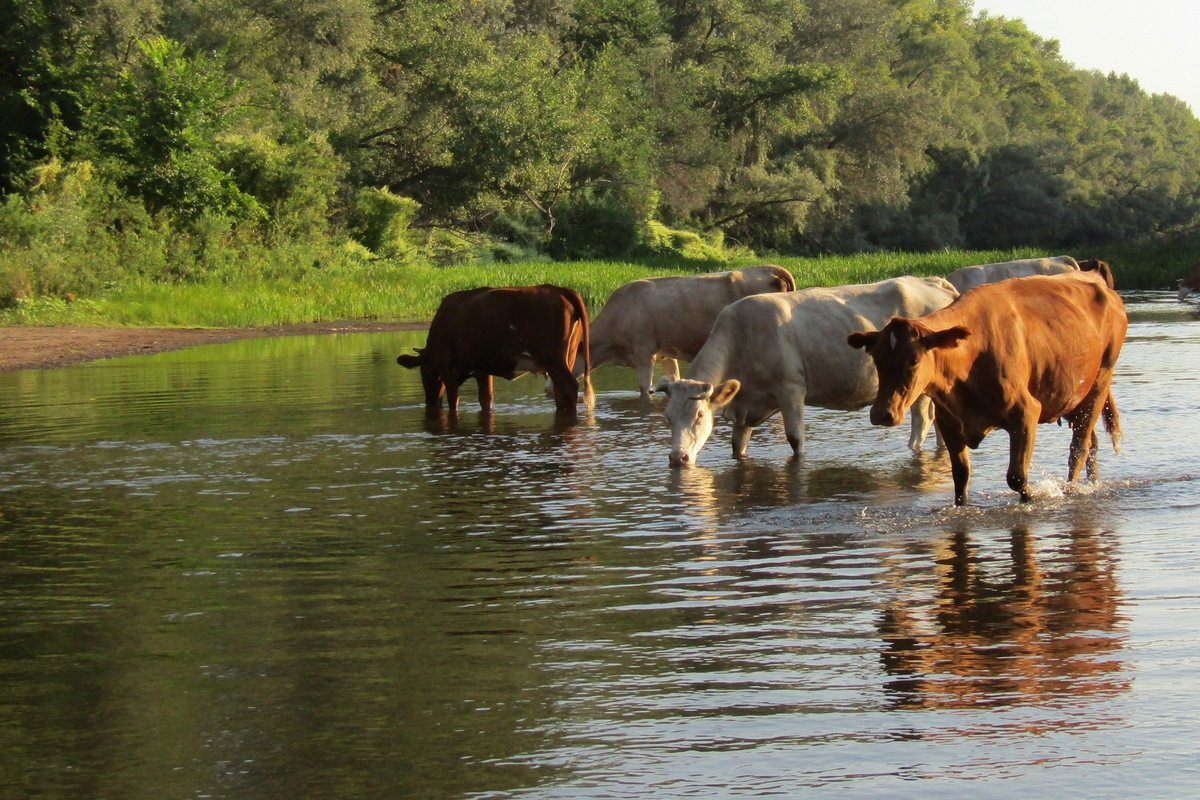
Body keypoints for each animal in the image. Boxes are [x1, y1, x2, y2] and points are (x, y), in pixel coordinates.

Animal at [398, 284, 595, 417]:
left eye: (424, 372)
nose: (429, 403)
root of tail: (560, 289)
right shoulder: (482, 369)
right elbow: (486, 399)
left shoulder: (448, 368)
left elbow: (454, 401)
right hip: (567, 356)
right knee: (560, 391)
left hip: (554, 359)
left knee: (569, 387)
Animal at [657, 275, 955, 465]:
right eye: (668, 417)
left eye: (698, 415)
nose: (678, 458)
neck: (742, 336)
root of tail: (933, 283)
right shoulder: (746, 406)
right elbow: (737, 446)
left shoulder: (791, 389)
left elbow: (795, 439)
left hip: (918, 388)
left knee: (922, 421)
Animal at [844, 272, 1123, 503]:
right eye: (876, 358)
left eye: (913, 360)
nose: (882, 413)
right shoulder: (949, 422)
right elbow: (961, 478)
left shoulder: (1026, 413)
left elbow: (1017, 477)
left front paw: (1032, 497)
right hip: (1072, 396)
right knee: (1091, 443)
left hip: (1101, 380)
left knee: (1079, 447)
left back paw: (1071, 490)